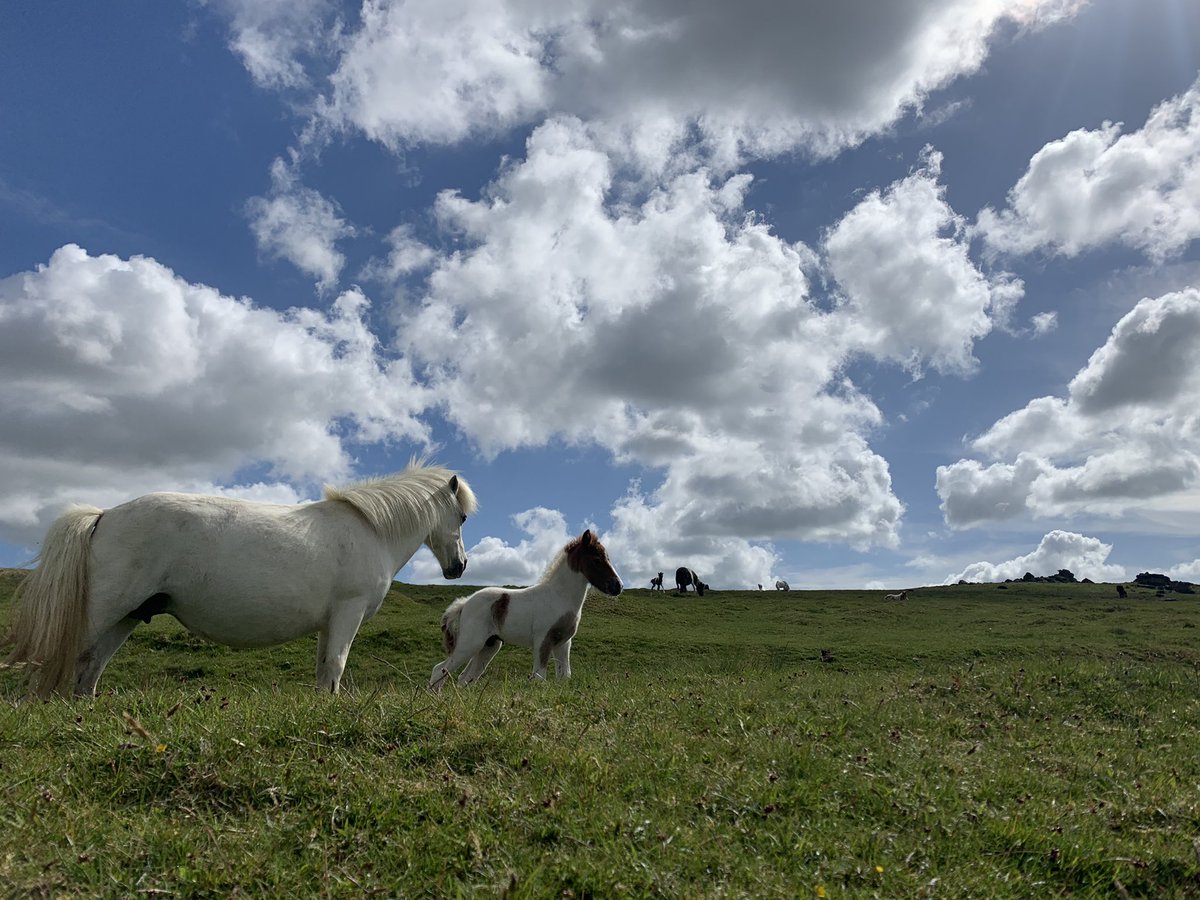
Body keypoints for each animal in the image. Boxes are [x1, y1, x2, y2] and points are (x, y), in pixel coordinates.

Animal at [3, 460, 477, 700]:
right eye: (462, 516)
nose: (459, 566)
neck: (369, 530)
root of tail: (104, 515)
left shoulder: (330, 624)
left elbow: (325, 670)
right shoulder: (348, 613)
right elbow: (337, 666)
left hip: (126, 617)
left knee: (90, 668)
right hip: (103, 612)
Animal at [429, 528, 619, 691]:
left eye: (608, 557)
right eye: (596, 559)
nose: (617, 586)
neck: (559, 596)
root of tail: (465, 603)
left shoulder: (563, 643)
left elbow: (564, 675)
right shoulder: (543, 640)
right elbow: (539, 676)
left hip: (488, 646)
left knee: (465, 677)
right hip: (470, 643)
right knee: (440, 669)